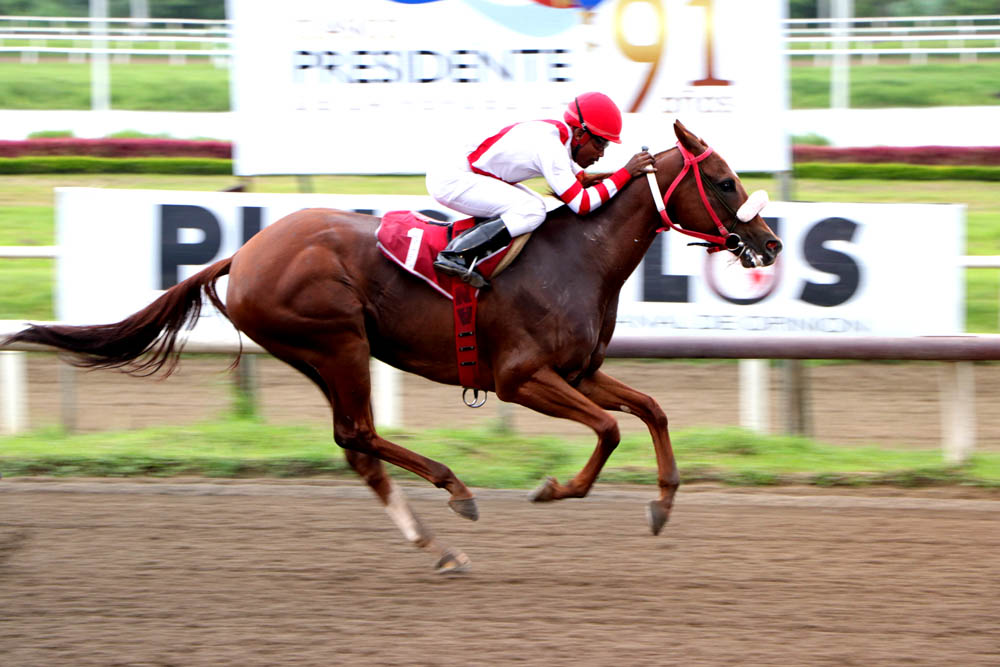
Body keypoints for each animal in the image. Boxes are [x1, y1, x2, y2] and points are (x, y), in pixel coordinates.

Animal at [3, 121, 780, 576]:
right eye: (723, 181)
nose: (770, 243)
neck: (578, 257)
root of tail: (242, 253)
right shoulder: (521, 377)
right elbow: (611, 430)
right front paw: (554, 487)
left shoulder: (579, 370)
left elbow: (650, 409)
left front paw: (663, 503)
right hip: (336, 340)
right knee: (359, 433)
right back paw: (455, 494)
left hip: (319, 352)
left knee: (356, 445)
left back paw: (438, 539)